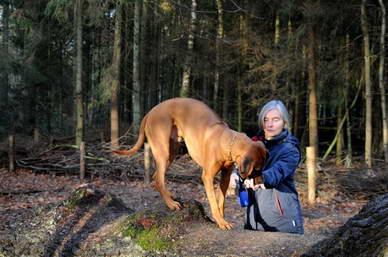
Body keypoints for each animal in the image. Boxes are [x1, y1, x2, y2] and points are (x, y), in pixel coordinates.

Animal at [115, 97, 266, 229]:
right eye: (256, 169)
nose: (261, 184)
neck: (226, 141)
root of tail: (150, 112)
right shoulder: (207, 177)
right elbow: (213, 202)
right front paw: (220, 221)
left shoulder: (225, 177)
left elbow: (221, 202)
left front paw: (222, 219)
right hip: (163, 150)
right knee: (158, 178)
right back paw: (171, 204)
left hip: (172, 151)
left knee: (156, 176)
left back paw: (170, 196)